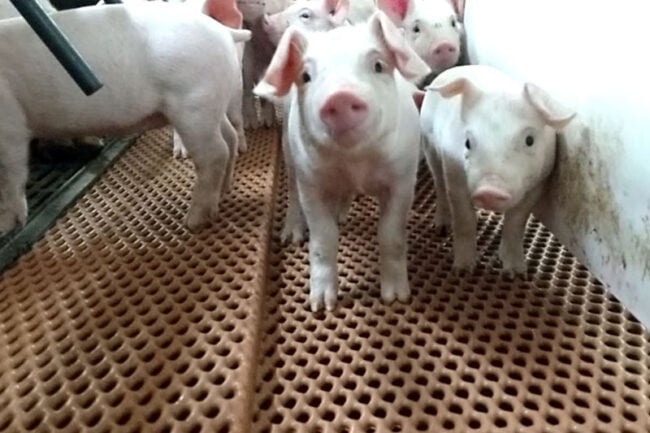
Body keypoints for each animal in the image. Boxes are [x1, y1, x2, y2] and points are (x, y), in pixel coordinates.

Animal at [0, 2, 251, 233]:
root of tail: (223, 31)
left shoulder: (10, 122)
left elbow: (10, 175)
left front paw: (5, 226)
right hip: (211, 102)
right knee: (229, 139)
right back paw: (224, 191)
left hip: (193, 104)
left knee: (215, 153)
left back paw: (193, 221)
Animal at [254, 11, 431, 311]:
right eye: (306, 76)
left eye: (378, 65)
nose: (341, 96)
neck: (355, 164)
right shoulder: (312, 183)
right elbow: (323, 238)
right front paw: (321, 306)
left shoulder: (403, 179)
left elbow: (391, 234)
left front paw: (396, 298)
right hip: (289, 150)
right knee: (292, 190)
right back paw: (292, 236)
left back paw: (342, 214)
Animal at [420, 65, 576, 279]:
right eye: (467, 142)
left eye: (529, 140)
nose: (489, 190)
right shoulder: (454, 174)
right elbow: (464, 220)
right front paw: (462, 271)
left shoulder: (540, 182)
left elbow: (516, 222)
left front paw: (516, 274)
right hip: (428, 143)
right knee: (439, 185)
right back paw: (442, 228)